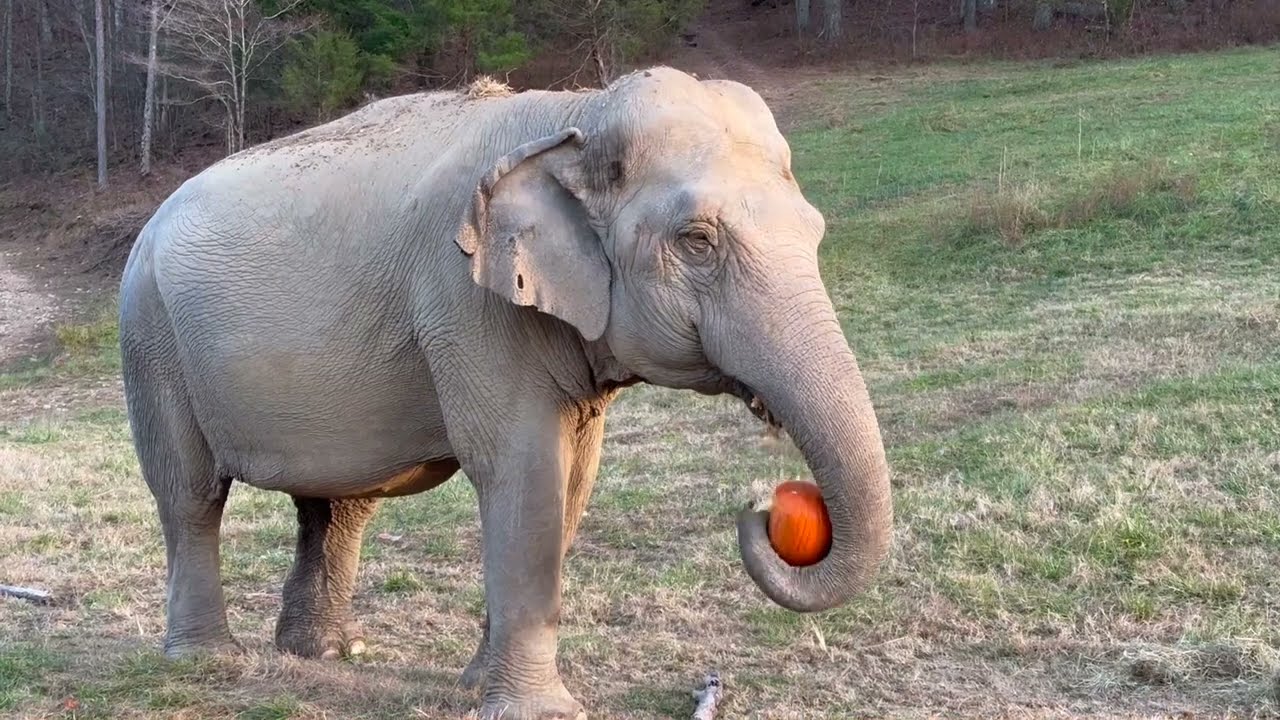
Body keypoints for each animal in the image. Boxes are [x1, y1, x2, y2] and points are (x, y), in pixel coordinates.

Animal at [117, 66, 893, 720]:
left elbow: (573, 479)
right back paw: (208, 661)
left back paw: (326, 653)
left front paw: (473, 686)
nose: (762, 505)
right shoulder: (466, 303)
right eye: (697, 240)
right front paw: (534, 711)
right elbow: (520, 468)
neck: (578, 112)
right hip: (150, 338)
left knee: (339, 505)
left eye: (815, 231)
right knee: (190, 496)